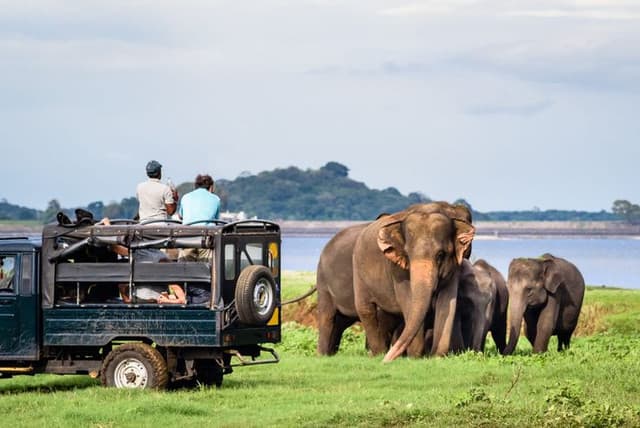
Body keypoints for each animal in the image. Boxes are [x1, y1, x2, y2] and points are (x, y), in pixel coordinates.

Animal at [316, 202, 473, 357]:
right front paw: (415, 357)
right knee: (353, 311)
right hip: (346, 275)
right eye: (407, 254)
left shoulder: (454, 266)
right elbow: (408, 301)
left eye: (440, 254)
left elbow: (447, 303)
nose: (387, 359)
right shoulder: (397, 269)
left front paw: (436, 356)